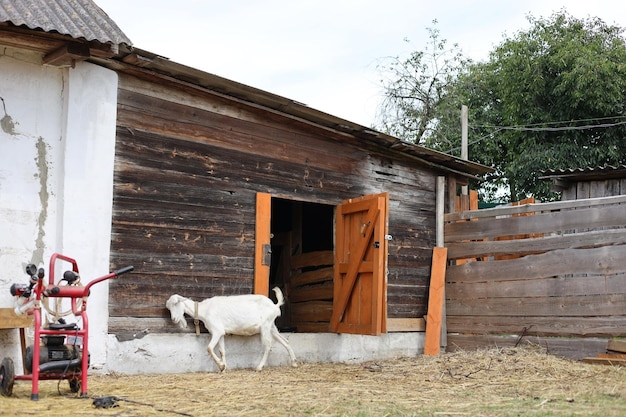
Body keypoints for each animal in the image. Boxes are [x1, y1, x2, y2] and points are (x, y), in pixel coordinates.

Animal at [166, 286, 298, 370]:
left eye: (176, 303)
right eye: (168, 307)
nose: (174, 319)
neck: (205, 310)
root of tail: (275, 305)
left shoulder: (217, 331)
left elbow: (209, 348)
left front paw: (221, 366)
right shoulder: (220, 333)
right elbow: (222, 350)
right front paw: (224, 367)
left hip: (265, 326)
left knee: (268, 345)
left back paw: (259, 367)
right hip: (271, 326)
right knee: (285, 341)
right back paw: (294, 363)